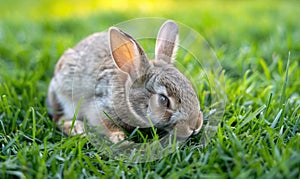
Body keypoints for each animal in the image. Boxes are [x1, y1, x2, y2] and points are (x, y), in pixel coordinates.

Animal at [47, 19, 203, 143]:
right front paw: (119, 137)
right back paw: (77, 129)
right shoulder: (99, 107)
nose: (195, 126)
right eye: (163, 100)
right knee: (58, 119)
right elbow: (105, 124)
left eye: (190, 87)